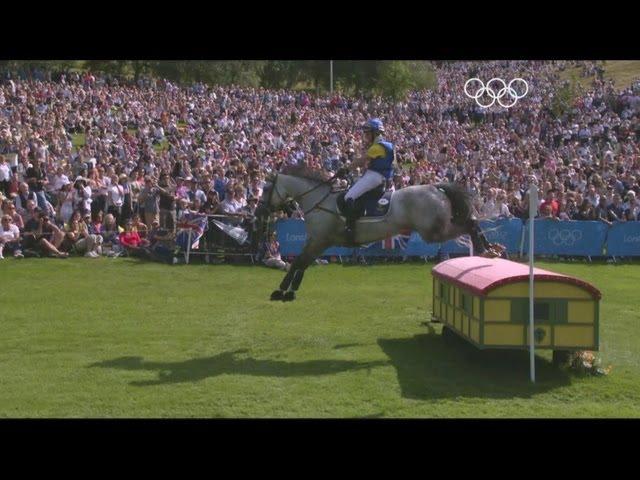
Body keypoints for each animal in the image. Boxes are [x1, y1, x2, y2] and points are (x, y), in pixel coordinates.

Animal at [256, 165, 504, 300]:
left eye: (266, 189)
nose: (259, 211)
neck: (318, 199)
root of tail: (435, 188)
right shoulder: (320, 241)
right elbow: (302, 263)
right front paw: (290, 291)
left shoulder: (319, 240)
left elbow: (298, 262)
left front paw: (281, 291)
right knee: (470, 222)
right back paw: (489, 249)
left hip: (433, 231)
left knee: (469, 223)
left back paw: (486, 249)